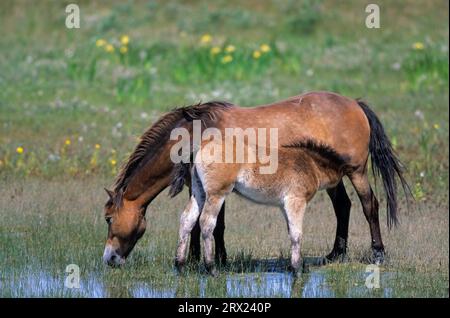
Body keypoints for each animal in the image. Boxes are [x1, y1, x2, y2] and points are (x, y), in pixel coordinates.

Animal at [101, 90, 408, 272]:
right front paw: (196, 259)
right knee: (343, 207)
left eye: (108, 219)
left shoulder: (217, 189)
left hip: (356, 172)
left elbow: (215, 226)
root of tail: (355, 103)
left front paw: (214, 260)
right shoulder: (200, 188)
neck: (194, 132)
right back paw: (335, 254)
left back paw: (378, 254)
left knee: (370, 205)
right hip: (333, 178)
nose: (109, 259)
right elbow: (198, 223)